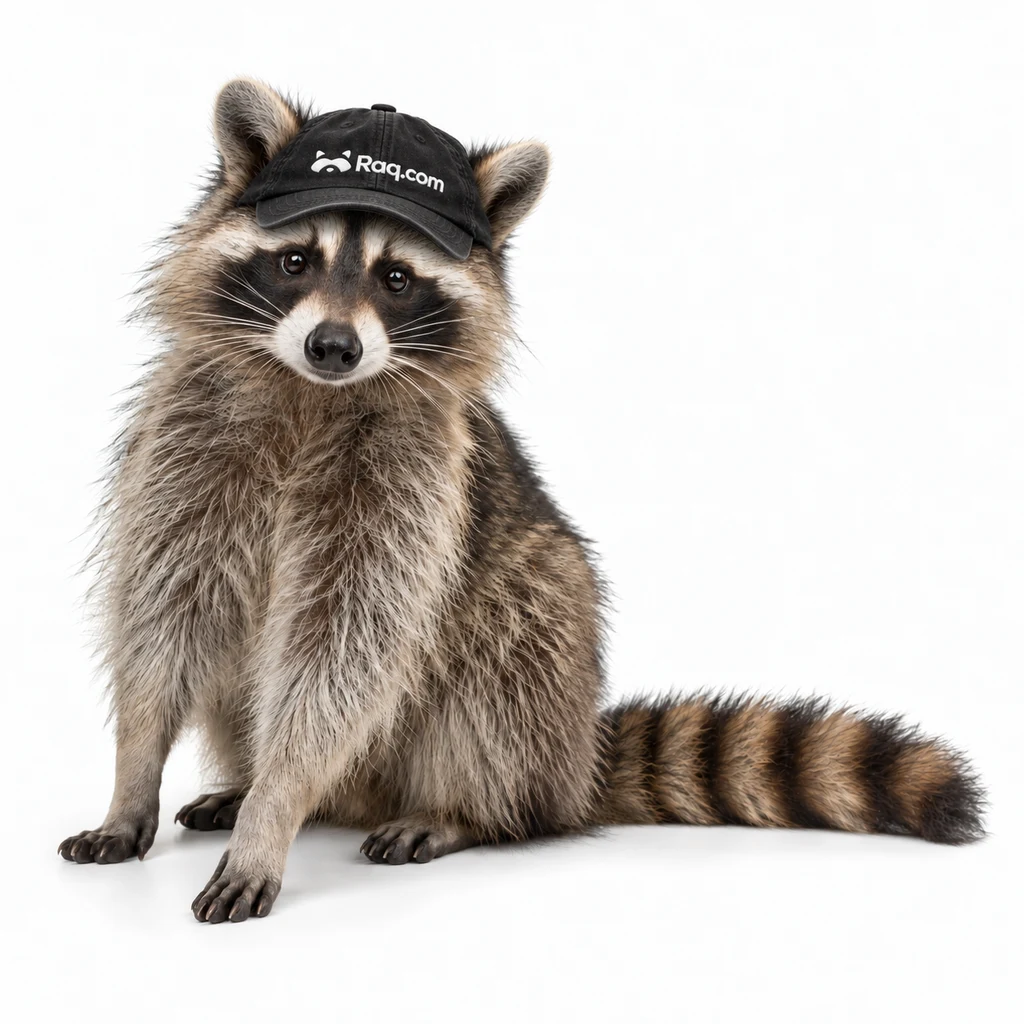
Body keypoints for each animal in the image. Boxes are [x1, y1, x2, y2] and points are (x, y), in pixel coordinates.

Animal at [58, 79, 985, 924]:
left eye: (397, 279)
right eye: (295, 263)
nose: (333, 346)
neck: (311, 394)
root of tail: (575, 763)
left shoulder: (410, 491)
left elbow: (342, 655)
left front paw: (276, 806)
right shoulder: (186, 450)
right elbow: (165, 616)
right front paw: (136, 774)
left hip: (543, 634)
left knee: (507, 653)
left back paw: (461, 810)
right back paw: (251, 784)